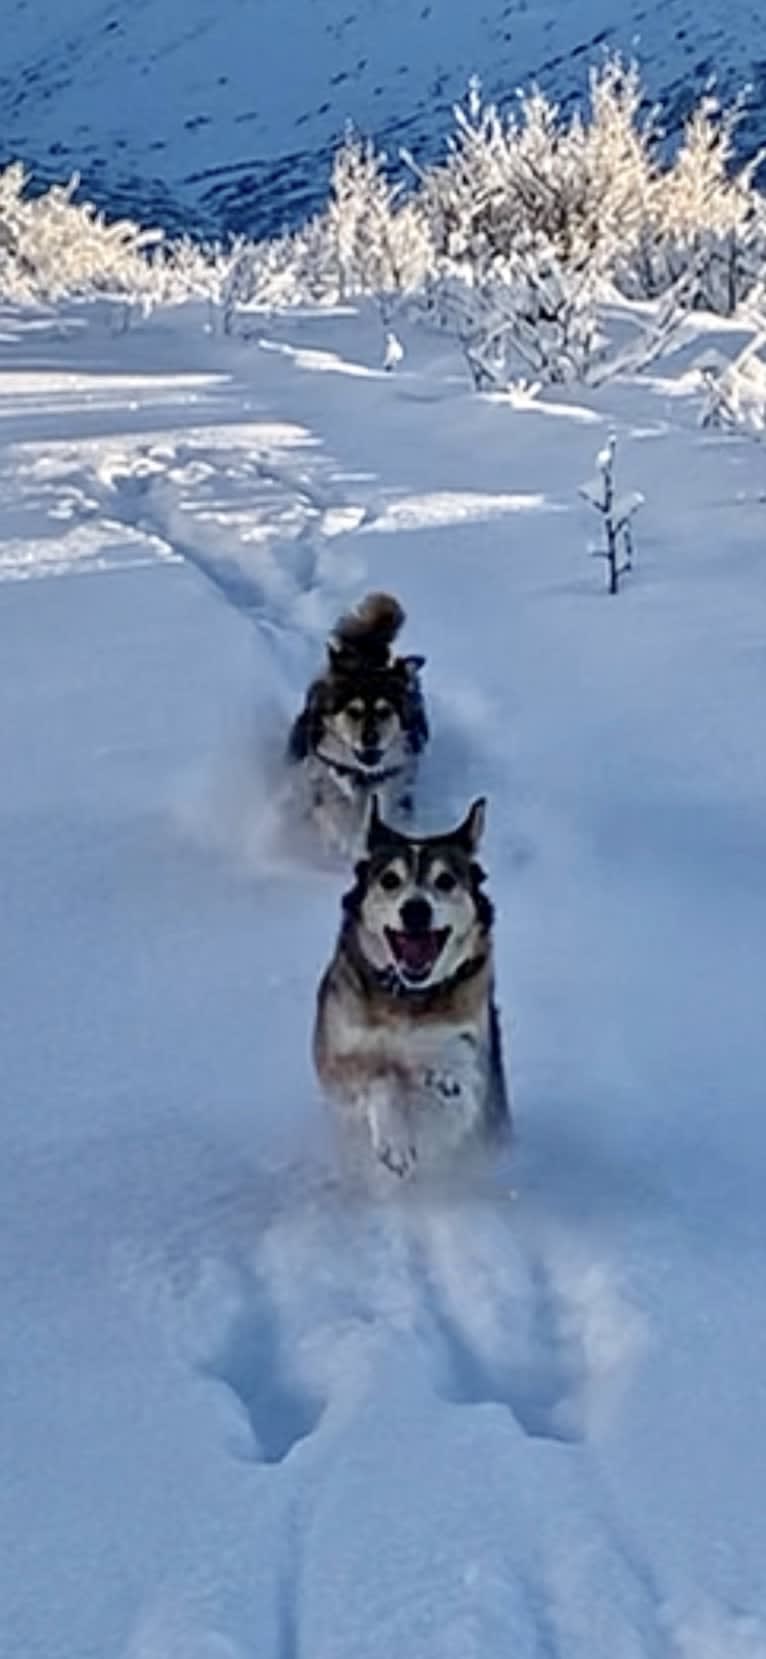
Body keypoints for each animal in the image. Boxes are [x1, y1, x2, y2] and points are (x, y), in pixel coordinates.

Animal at [311, 793, 507, 1174]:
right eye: (389, 880)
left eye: (445, 880)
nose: (416, 909)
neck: (408, 997)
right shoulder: (334, 1061)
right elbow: (380, 1073)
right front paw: (396, 1141)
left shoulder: (475, 1070)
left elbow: (456, 1077)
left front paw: (440, 1073)